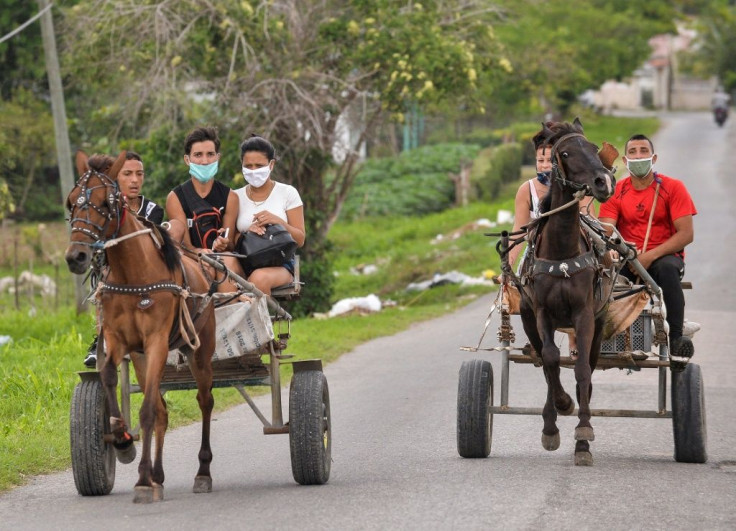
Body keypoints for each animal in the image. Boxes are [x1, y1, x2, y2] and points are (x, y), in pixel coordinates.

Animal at [64, 151, 216, 502]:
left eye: (106, 203)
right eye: (71, 203)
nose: (76, 256)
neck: (134, 272)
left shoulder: (157, 341)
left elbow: (147, 411)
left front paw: (143, 481)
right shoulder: (120, 340)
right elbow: (109, 378)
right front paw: (120, 440)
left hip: (199, 348)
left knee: (204, 400)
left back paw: (201, 472)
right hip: (142, 357)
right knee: (162, 409)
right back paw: (157, 475)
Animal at [512, 119, 616, 466]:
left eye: (595, 148)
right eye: (566, 153)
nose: (603, 181)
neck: (561, 253)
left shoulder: (584, 315)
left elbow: (582, 368)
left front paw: (583, 436)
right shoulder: (543, 313)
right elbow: (551, 360)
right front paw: (557, 413)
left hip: (599, 322)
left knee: (590, 366)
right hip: (529, 320)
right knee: (547, 363)